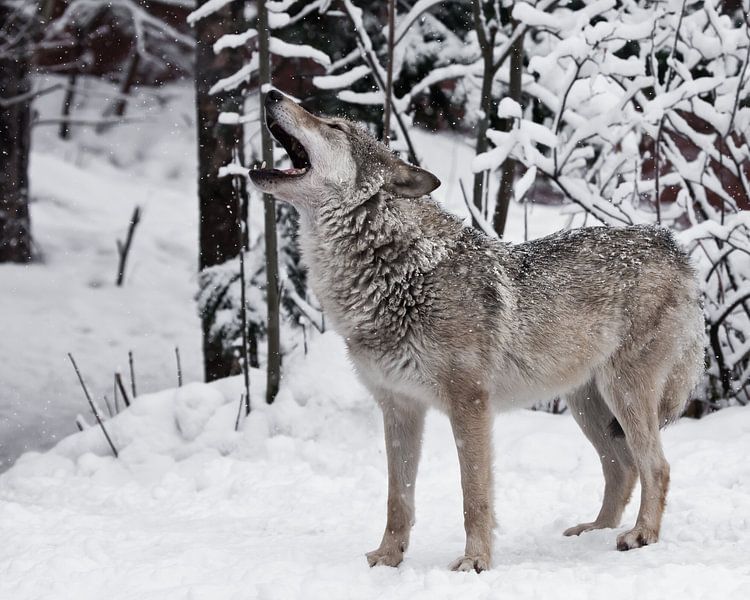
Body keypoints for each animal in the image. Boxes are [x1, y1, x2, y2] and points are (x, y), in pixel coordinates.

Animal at [250, 89, 708, 572]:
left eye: (333, 126)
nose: (271, 93)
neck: (399, 273)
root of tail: (673, 246)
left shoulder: (469, 405)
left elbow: (474, 496)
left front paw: (474, 563)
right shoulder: (398, 408)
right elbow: (398, 499)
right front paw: (389, 559)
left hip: (623, 395)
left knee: (656, 466)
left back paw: (641, 535)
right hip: (587, 407)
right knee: (622, 468)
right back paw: (594, 530)